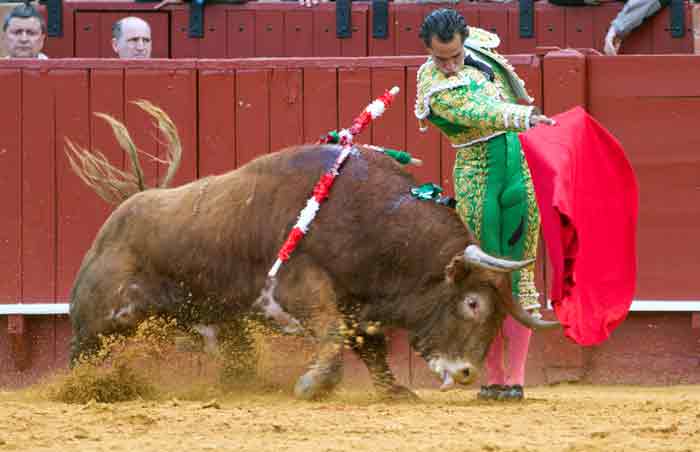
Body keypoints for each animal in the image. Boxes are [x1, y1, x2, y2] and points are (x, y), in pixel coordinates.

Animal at [67, 102, 556, 400]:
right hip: (103, 318)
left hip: (215, 322)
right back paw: (78, 389)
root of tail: (125, 207)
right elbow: (334, 335)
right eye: (472, 303)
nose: (469, 372)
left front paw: (393, 390)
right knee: (80, 352)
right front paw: (312, 384)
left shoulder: (360, 305)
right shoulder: (300, 286)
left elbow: (368, 346)